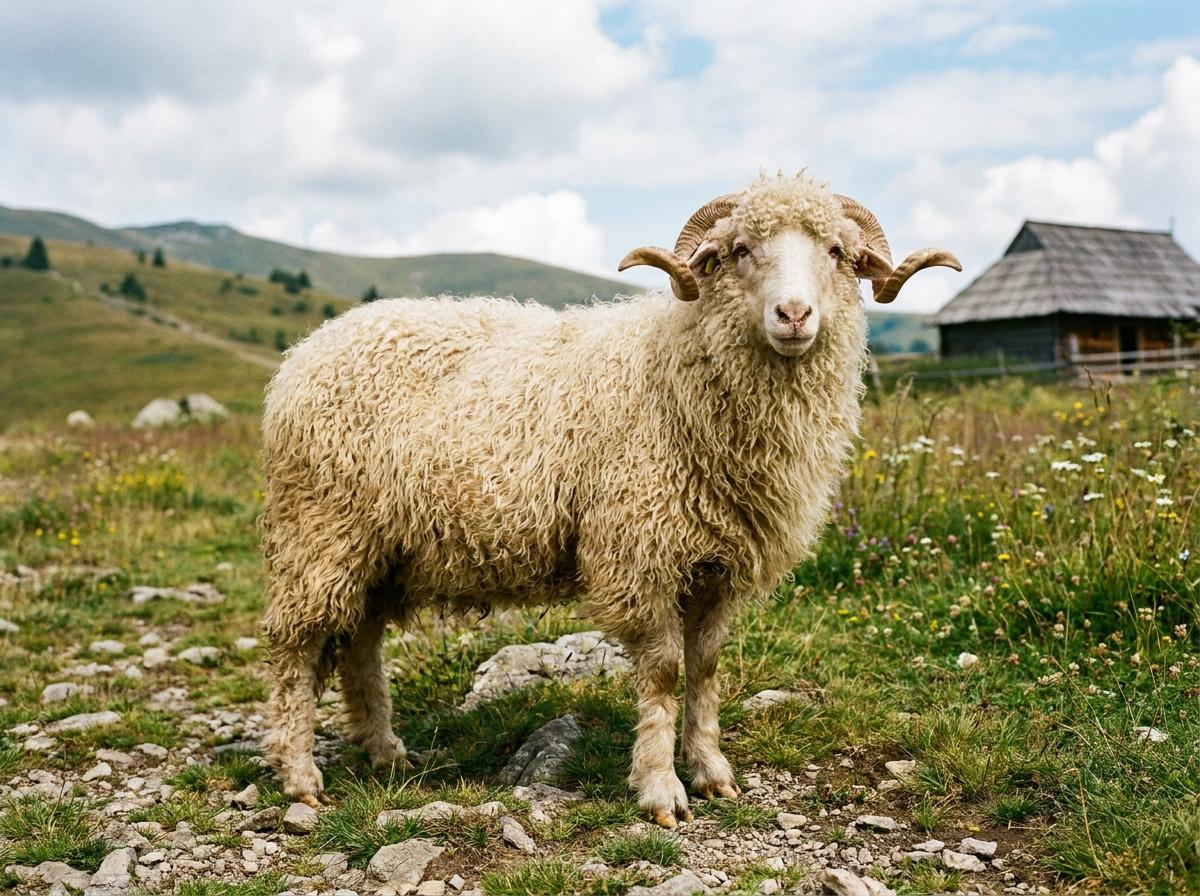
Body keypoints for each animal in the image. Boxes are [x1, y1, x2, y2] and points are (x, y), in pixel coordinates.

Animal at [259, 171, 959, 827]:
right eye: (740, 249)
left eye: (838, 252)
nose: (793, 315)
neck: (676, 372)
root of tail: (306, 351)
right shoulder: (639, 551)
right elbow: (664, 672)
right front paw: (660, 789)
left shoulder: (720, 564)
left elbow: (706, 668)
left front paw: (711, 770)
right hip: (318, 532)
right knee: (295, 649)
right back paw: (300, 777)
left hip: (379, 549)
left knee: (360, 645)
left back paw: (386, 753)